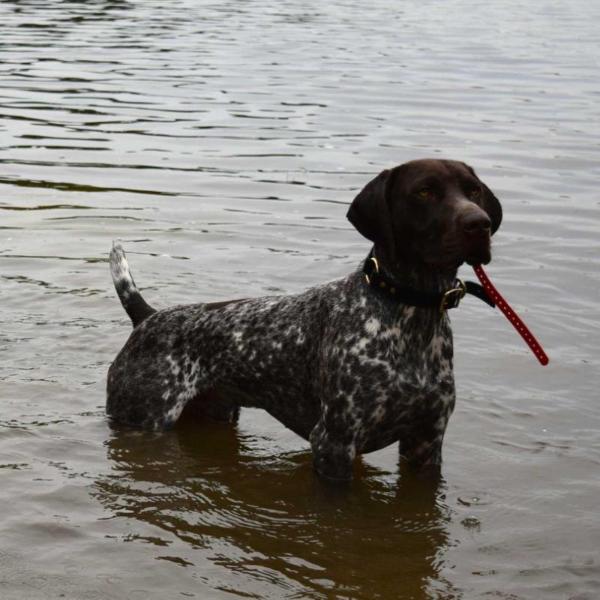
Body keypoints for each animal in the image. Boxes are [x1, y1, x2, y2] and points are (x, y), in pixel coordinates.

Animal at [108, 157, 502, 480]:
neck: (410, 317)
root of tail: (148, 317)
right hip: (142, 419)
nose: (478, 224)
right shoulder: (334, 443)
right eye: (424, 191)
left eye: (473, 190)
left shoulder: (426, 443)